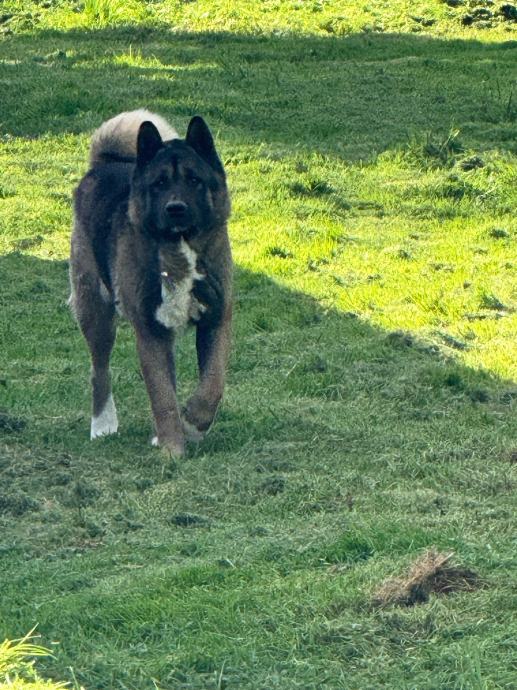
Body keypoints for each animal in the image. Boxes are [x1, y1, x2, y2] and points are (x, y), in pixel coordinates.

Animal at [68, 109, 232, 456]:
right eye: (159, 183)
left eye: (194, 180)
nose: (176, 208)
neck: (178, 248)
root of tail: (103, 164)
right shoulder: (150, 330)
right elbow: (162, 396)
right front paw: (172, 449)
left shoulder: (216, 319)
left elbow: (212, 383)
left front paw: (192, 424)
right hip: (95, 310)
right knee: (99, 370)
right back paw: (102, 425)